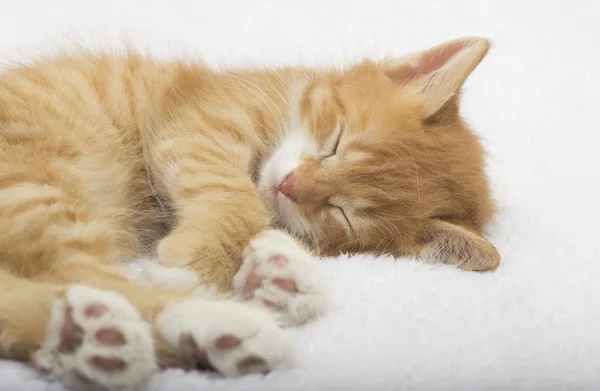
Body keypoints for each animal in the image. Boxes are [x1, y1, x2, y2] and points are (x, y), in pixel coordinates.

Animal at [0, 36, 496, 388]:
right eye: (336, 143)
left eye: (341, 213)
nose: (291, 187)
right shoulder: (200, 125)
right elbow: (237, 200)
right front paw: (204, 261)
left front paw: (275, 273)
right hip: (32, 183)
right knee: (83, 272)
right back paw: (200, 315)